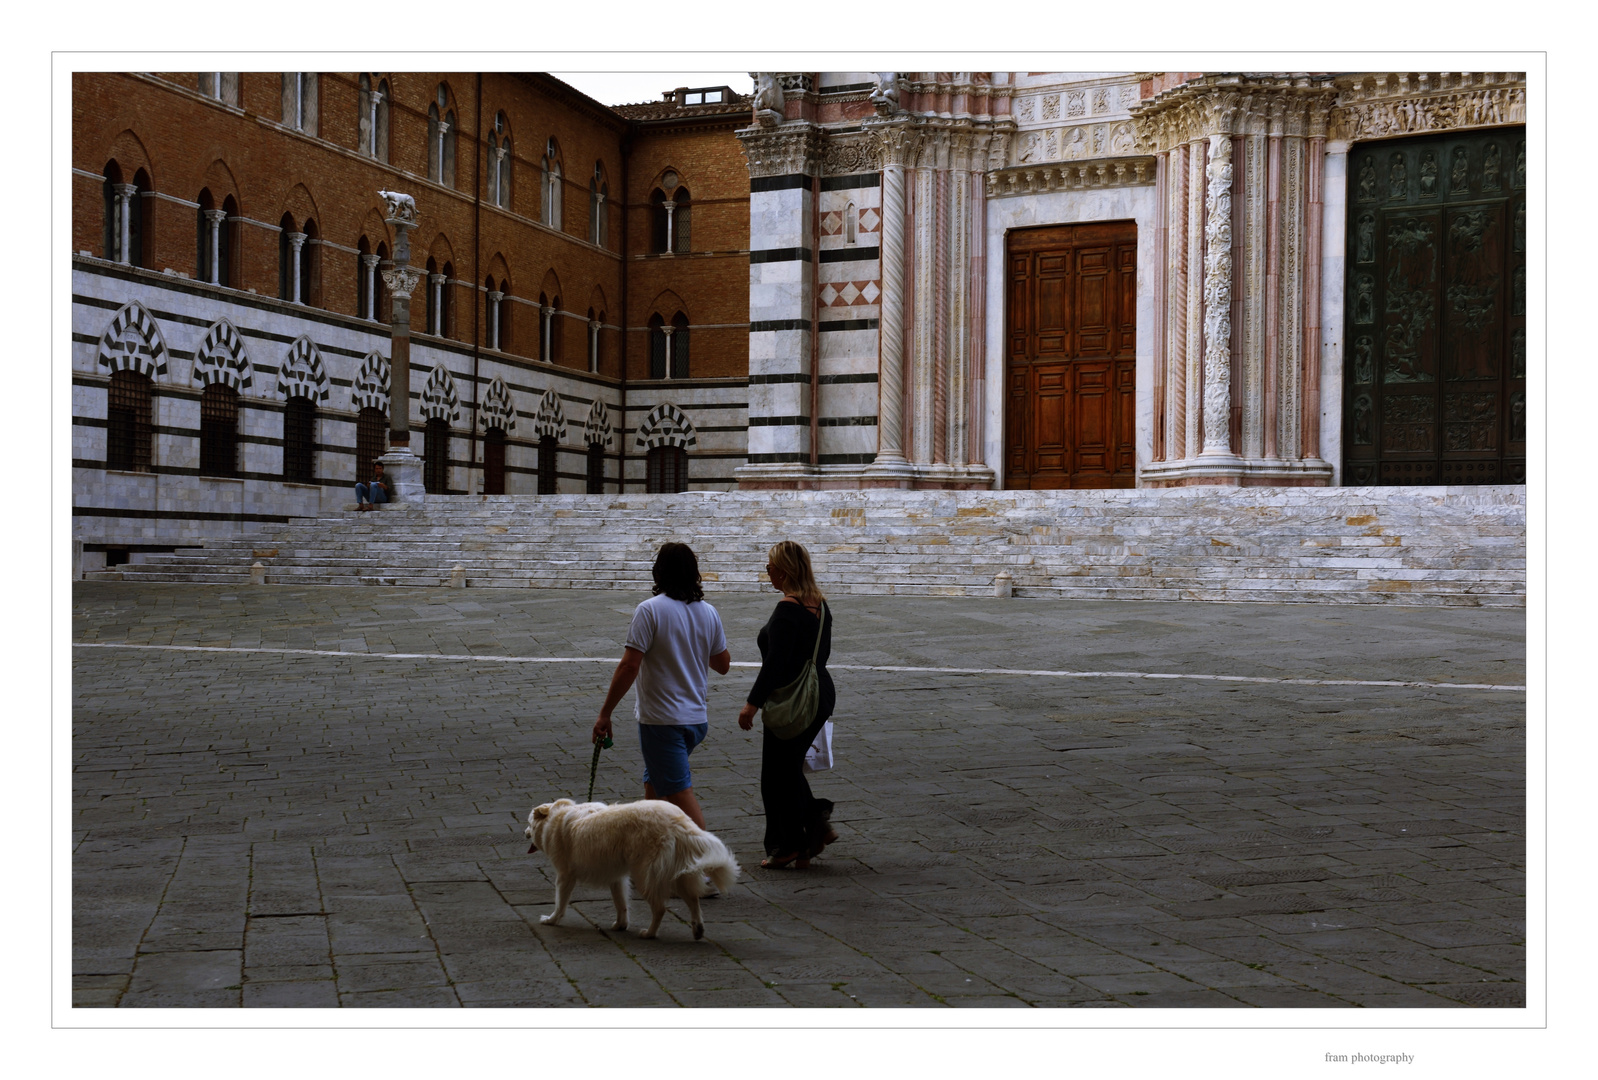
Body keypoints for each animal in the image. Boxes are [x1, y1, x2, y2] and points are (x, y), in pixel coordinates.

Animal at [530, 798, 741, 939]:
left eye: (528, 823)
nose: (524, 833)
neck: (557, 815)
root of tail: (678, 821)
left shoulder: (564, 876)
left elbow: (560, 903)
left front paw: (551, 920)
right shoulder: (617, 879)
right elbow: (621, 904)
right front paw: (620, 925)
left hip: (644, 876)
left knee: (660, 908)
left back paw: (649, 934)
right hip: (677, 873)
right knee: (693, 900)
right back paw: (697, 930)